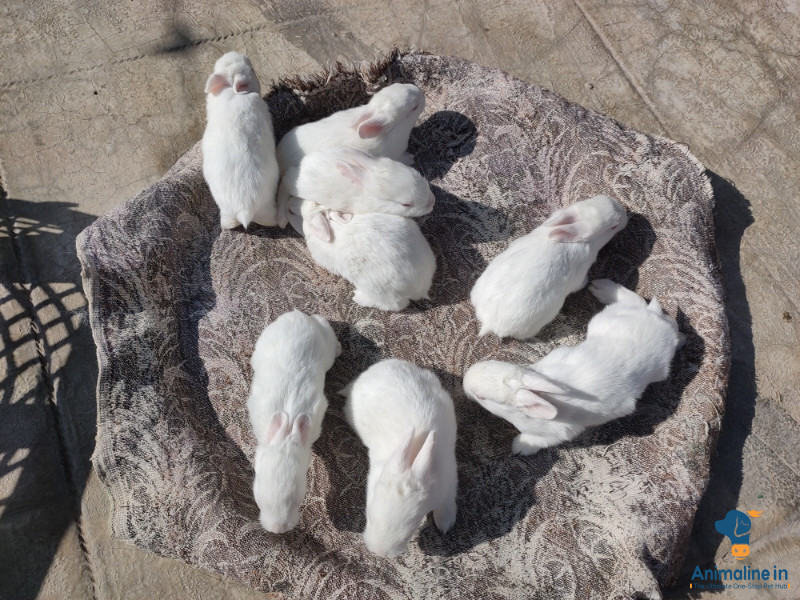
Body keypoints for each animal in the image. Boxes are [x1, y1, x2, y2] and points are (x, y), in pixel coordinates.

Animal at [286, 197, 436, 312]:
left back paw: (359, 298)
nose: (289, 202)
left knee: (396, 305)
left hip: (379, 290)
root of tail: (420, 287)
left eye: (292, 213)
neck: (333, 225)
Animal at [340, 359, 458, 558]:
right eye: (369, 517)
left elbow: (446, 504)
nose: (379, 552)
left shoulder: (448, 484)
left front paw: (445, 524)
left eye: (408, 533)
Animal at [463, 279, 684, 456]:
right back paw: (602, 287)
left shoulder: (559, 432)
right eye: (494, 363)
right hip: (607, 319)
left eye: (482, 397)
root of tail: (656, 322)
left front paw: (519, 448)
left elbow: (537, 440)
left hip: (657, 367)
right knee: (639, 303)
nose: (465, 381)